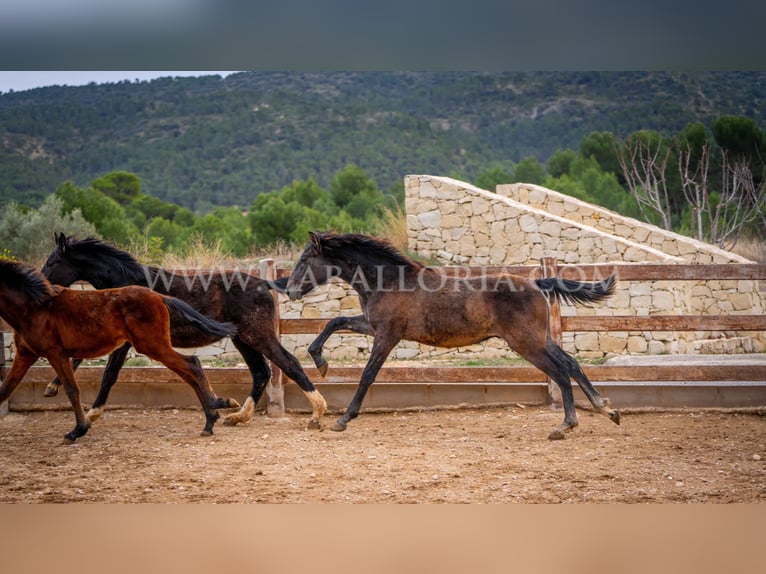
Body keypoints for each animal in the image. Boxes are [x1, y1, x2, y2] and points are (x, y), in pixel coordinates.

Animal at [0, 258, 240, 444]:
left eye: (53, 261)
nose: (47, 276)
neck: (34, 308)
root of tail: (159, 297)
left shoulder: (56, 353)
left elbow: (72, 389)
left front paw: (78, 430)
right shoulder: (25, 354)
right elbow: (6, 388)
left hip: (152, 345)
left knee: (191, 364)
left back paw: (216, 411)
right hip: (154, 345)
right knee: (189, 370)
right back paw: (212, 417)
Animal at [288, 233, 624, 440]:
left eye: (304, 260)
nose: (289, 290)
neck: (390, 281)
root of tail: (538, 283)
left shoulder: (387, 335)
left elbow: (367, 375)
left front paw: (343, 419)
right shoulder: (372, 325)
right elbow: (334, 321)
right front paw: (320, 362)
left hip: (526, 343)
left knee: (561, 371)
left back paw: (566, 425)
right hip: (540, 340)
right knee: (572, 364)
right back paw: (606, 410)